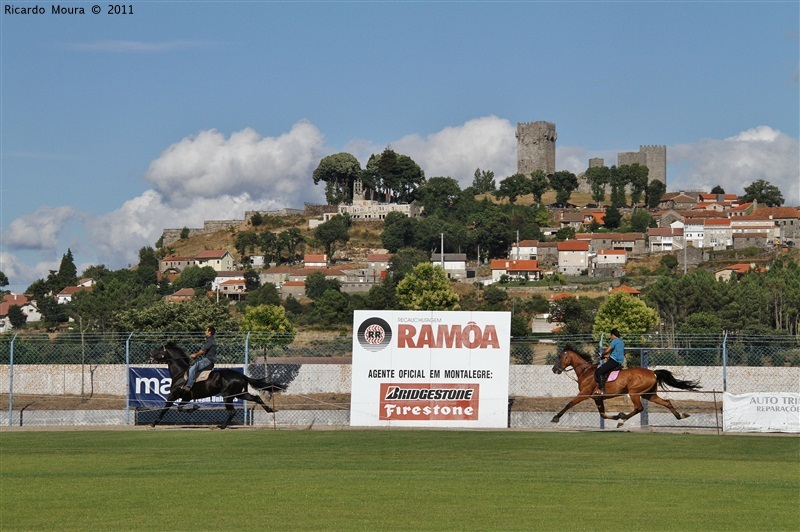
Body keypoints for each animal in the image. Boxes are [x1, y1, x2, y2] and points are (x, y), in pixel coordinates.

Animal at [148, 342, 282, 430]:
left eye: (159, 349)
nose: (149, 355)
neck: (181, 373)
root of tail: (240, 375)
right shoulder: (186, 397)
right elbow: (180, 408)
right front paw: (194, 407)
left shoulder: (173, 394)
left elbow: (166, 408)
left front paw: (154, 423)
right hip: (239, 394)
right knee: (256, 398)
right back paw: (271, 410)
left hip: (227, 395)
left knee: (232, 411)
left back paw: (222, 426)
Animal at [552, 344, 700, 428]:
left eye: (560, 357)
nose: (554, 369)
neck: (586, 371)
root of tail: (652, 372)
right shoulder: (597, 398)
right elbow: (603, 414)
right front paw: (617, 415)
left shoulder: (584, 394)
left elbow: (569, 404)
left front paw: (556, 417)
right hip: (649, 395)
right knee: (666, 402)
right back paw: (680, 416)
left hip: (634, 393)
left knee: (639, 408)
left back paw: (622, 421)